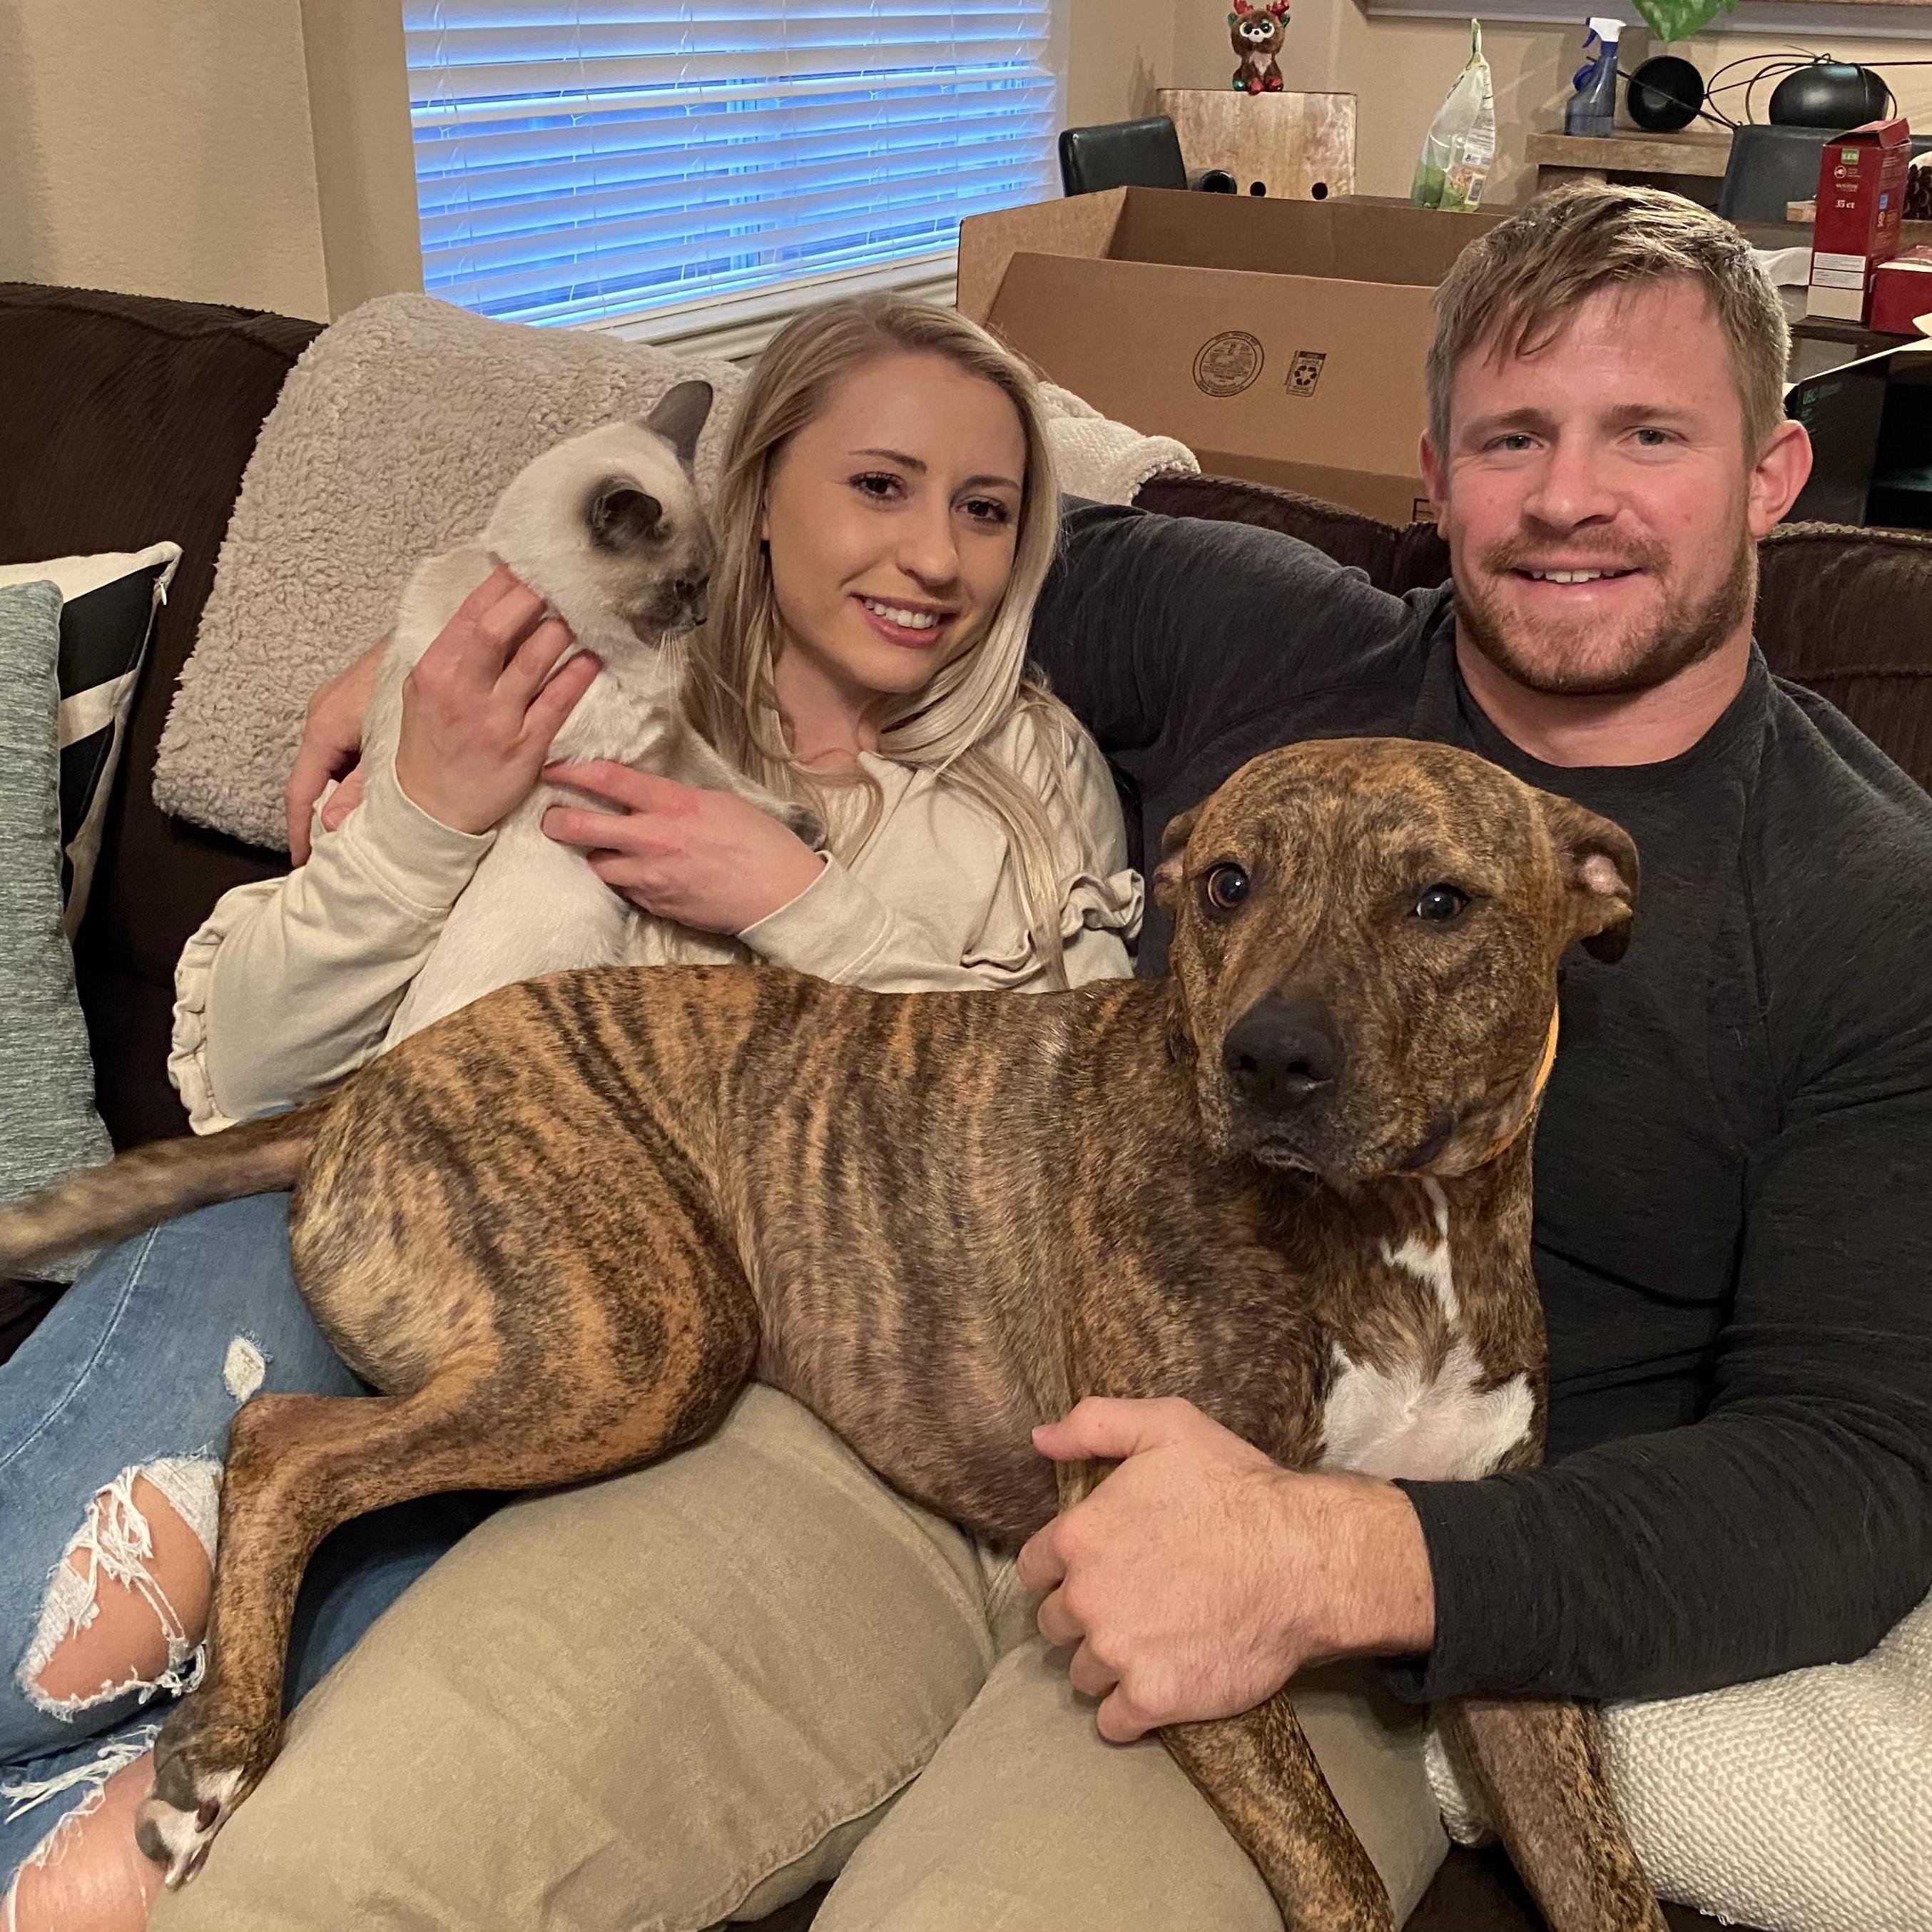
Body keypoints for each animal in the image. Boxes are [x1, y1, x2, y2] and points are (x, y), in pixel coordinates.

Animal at [0, 737, 1662, 1932]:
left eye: (1439, 902)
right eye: (1227, 885)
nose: (1266, 1059)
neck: (1394, 1229)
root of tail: (373, 1075)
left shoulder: (1495, 1634)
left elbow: (1610, 1883)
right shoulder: (1164, 1560)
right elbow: (1336, 1874)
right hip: (640, 1342)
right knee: (284, 1438)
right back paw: (220, 1751)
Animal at [355, 381, 821, 1042]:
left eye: (708, 579)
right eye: (683, 586)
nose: (702, 617)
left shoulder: (672, 734)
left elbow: (731, 782)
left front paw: (801, 826)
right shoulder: (647, 753)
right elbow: (717, 790)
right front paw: (800, 831)